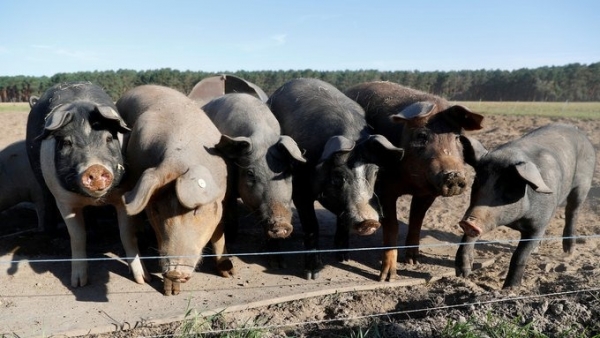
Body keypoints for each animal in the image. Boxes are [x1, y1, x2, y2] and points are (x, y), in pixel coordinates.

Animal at [24, 80, 149, 286]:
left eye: (109, 138)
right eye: (67, 143)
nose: (95, 168)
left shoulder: (124, 194)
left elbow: (127, 235)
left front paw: (142, 279)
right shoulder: (64, 201)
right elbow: (77, 237)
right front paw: (78, 283)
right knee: (46, 201)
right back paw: (50, 235)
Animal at [115, 85, 234, 296]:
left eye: (195, 211)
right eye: (156, 210)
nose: (175, 272)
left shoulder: (222, 199)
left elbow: (219, 232)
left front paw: (229, 273)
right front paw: (171, 292)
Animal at [202, 93, 308, 266]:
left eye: (286, 172)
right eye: (250, 173)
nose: (281, 223)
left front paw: (278, 264)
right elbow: (230, 209)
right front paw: (231, 238)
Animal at [266, 78, 404, 278]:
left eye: (375, 172)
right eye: (338, 176)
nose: (370, 221)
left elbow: (342, 220)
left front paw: (343, 258)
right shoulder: (300, 189)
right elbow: (311, 225)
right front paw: (312, 274)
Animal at [344, 80, 486, 282]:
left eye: (458, 138)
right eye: (421, 136)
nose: (454, 175)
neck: (412, 184)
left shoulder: (428, 193)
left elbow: (416, 219)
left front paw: (413, 261)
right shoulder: (383, 189)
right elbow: (392, 225)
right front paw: (387, 278)